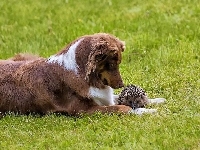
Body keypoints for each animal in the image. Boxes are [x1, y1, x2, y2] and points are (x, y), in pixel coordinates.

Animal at [0, 32, 138, 115]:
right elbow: (119, 108)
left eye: (119, 63)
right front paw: (135, 110)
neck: (81, 73)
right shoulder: (83, 110)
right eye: (113, 65)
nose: (121, 85)